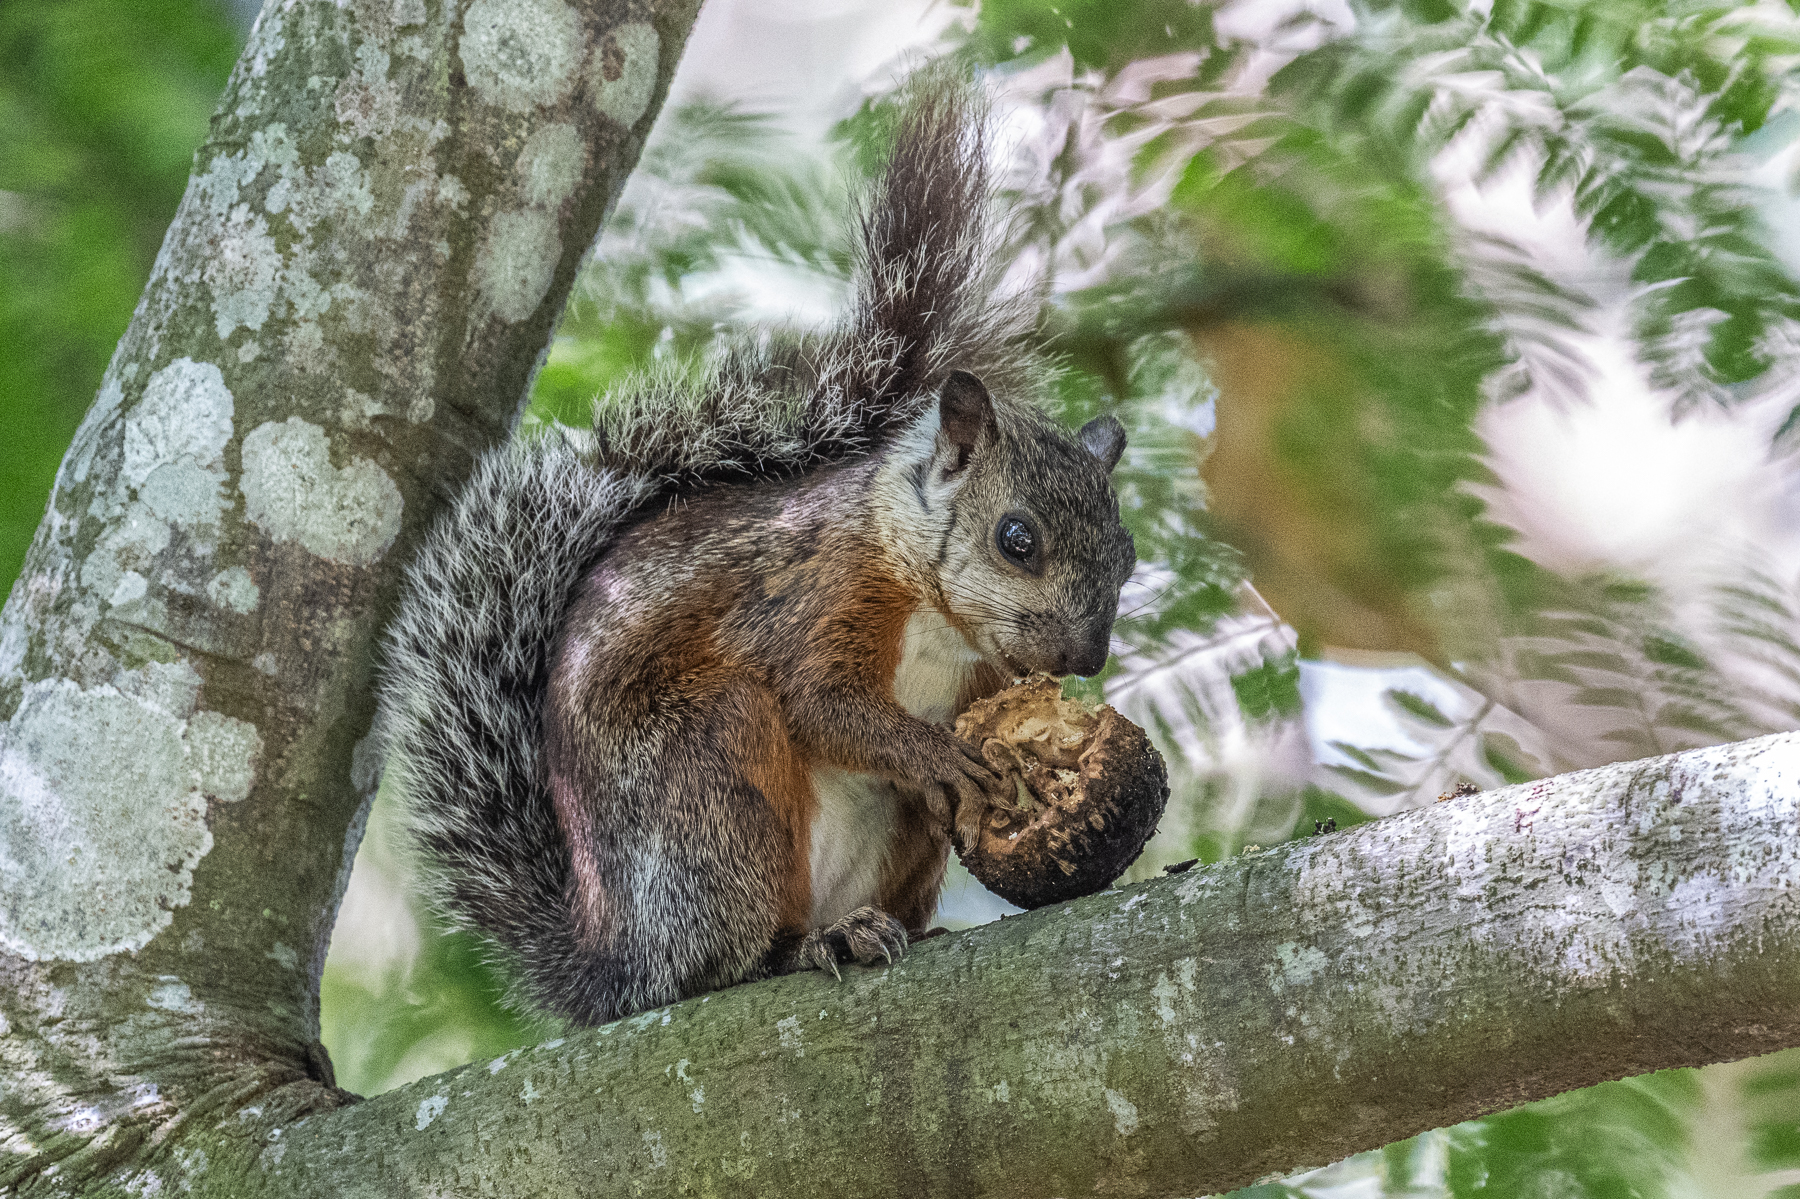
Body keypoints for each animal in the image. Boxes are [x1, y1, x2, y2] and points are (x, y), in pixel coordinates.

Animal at [378, 74, 1138, 1027]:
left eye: (1128, 556)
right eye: (1016, 538)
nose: (1084, 656)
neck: (934, 612)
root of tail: (619, 959)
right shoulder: (812, 595)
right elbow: (820, 702)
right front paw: (935, 756)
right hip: (708, 790)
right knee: (723, 959)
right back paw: (803, 946)